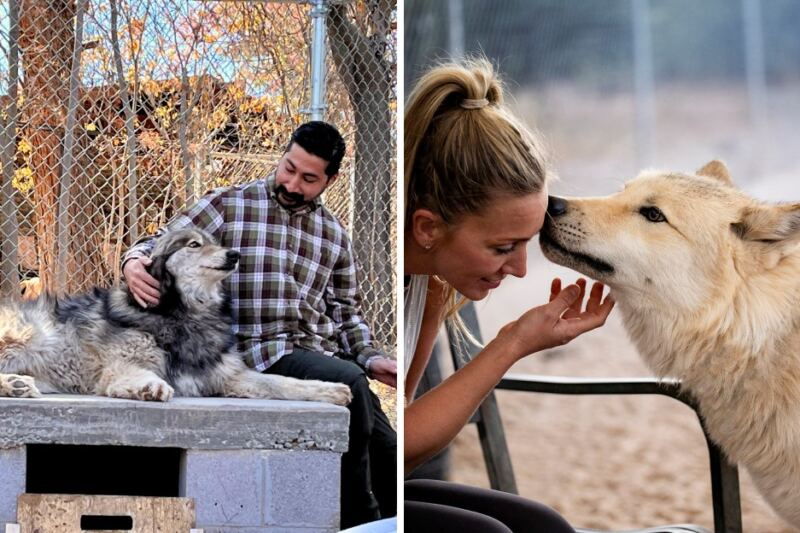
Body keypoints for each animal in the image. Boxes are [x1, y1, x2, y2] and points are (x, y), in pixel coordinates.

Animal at [0, 228, 352, 406]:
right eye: (194, 245)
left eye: (218, 243)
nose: (234, 255)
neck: (186, 314)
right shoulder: (119, 368)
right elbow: (140, 376)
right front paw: (149, 388)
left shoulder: (230, 377)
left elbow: (285, 382)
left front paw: (331, 390)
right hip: (25, 335)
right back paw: (14, 386)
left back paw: (18, 385)